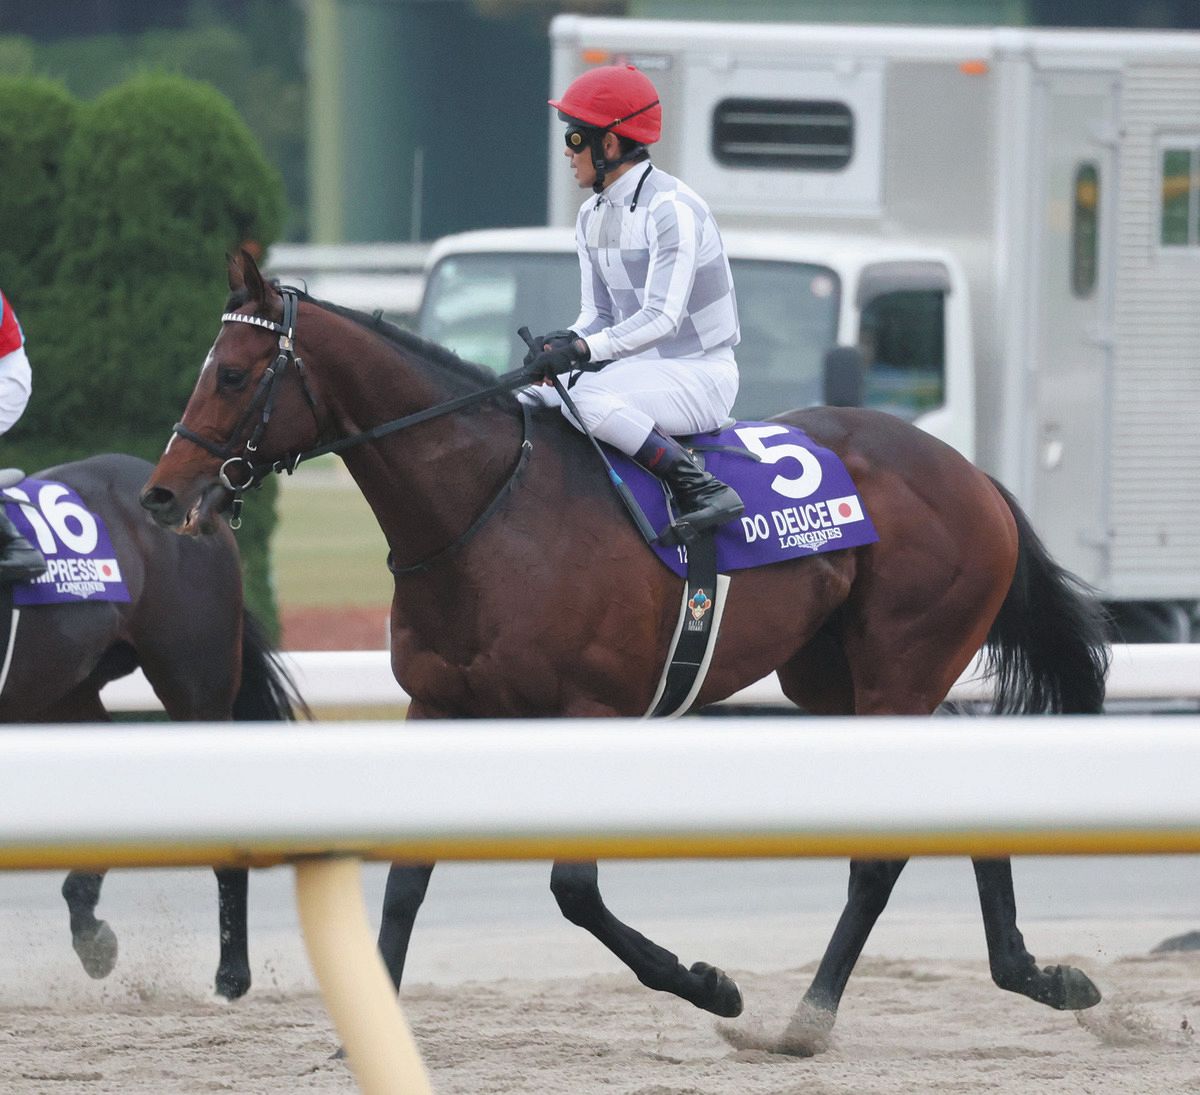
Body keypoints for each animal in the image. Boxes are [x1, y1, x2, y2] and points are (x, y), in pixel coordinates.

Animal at [139, 251, 1110, 1052]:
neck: (485, 509)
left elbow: (574, 889)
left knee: (879, 855)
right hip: (834, 675)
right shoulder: (438, 703)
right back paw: (1034, 973)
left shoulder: (589, 710)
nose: (162, 496)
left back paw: (805, 1019)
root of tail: (974, 475)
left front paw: (711, 985)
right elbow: (409, 880)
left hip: (896, 672)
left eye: (232, 372)